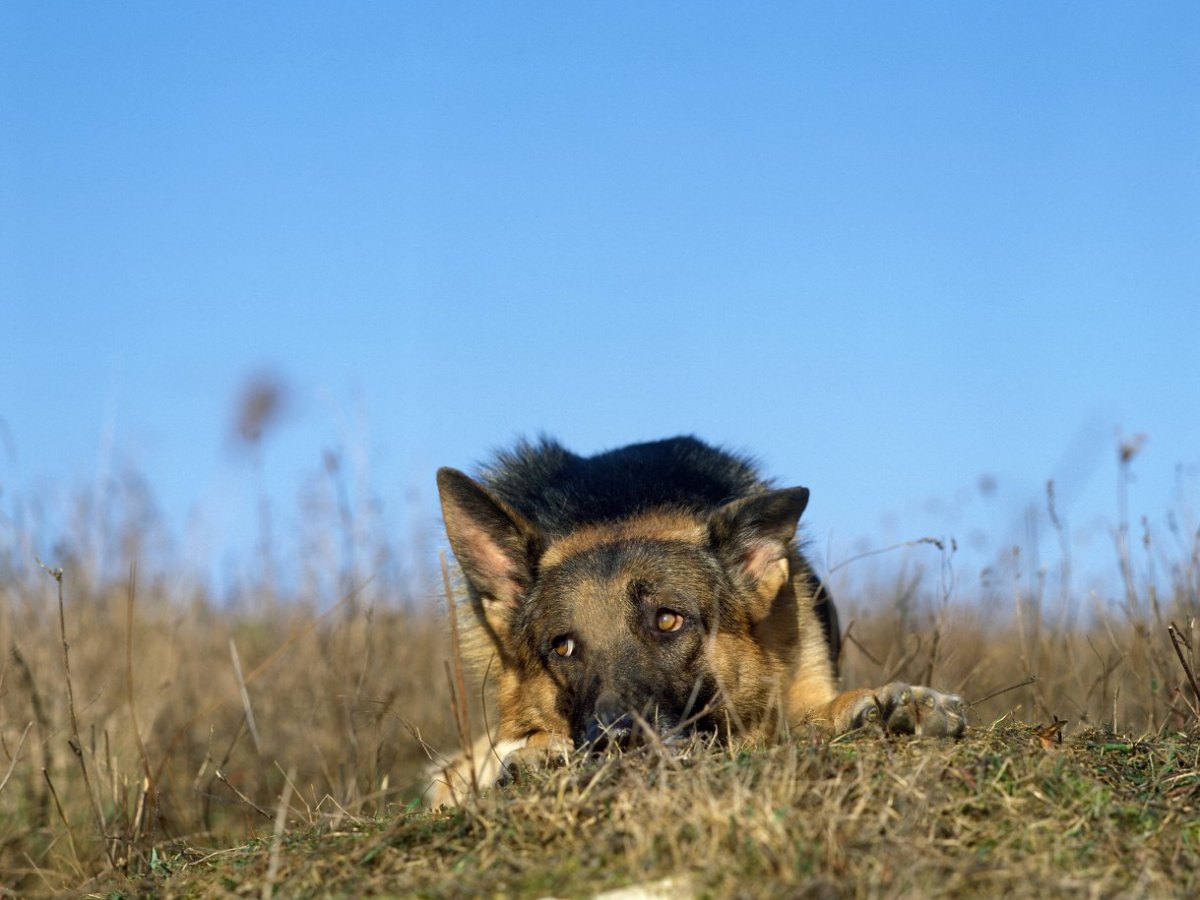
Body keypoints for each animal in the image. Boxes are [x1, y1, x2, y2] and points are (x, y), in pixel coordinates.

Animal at [427, 434, 969, 801]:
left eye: (669, 621)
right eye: (562, 646)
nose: (616, 742)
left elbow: (815, 712)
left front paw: (893, 704)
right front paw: (537, 753)